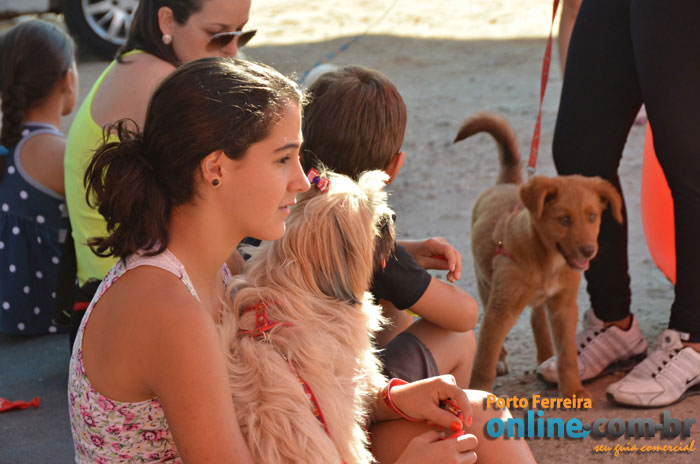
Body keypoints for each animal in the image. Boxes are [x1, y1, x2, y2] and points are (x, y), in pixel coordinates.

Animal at [454, 112, 623, 398]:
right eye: (564, 220)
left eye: (592, 217)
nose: (589, 251)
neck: (548, 262)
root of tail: (507, 183)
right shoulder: (501, 310)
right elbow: (484, 360)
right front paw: (477, 393)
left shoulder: (565, 306)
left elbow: (568, 356)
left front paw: (574, 391)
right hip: (485, 283)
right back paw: (504, 359)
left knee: (537, 319)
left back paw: (545, 356)